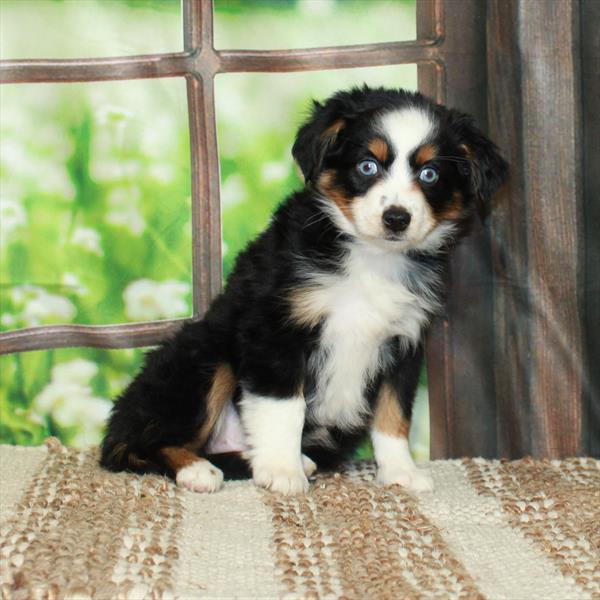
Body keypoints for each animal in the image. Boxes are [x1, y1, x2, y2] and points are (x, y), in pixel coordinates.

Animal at [101, 85, 508, 496]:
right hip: (203, 356)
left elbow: (393, 413)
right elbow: (284, 406)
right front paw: (282, 471)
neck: (371, 259)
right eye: (367, 166)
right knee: (130, 445)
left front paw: (400, 471)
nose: (396, 218)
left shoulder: (403, 343)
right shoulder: (277, 328)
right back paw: (198, 469)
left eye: (429, 173)